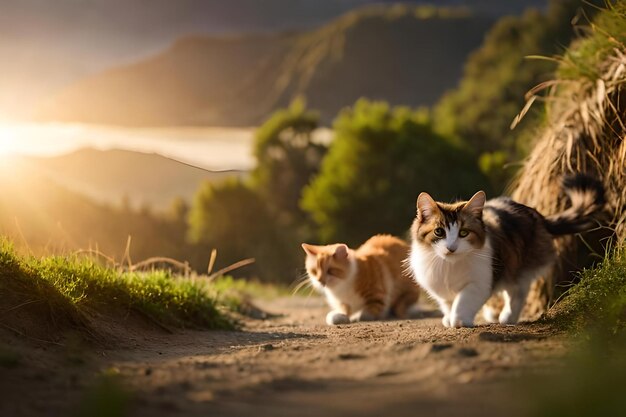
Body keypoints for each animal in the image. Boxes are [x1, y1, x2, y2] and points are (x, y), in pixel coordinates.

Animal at [408, 174, 604, 326]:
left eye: (463, 233)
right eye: (439, 232)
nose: (451, 248)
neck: (449, 266)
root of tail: (537, 215)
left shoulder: (481, 283)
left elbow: (463, 301)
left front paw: (460, 320)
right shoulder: (442, 291)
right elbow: (449, 305)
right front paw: (449, 319)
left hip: (518, 267)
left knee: (518, 292)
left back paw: (507, 317)